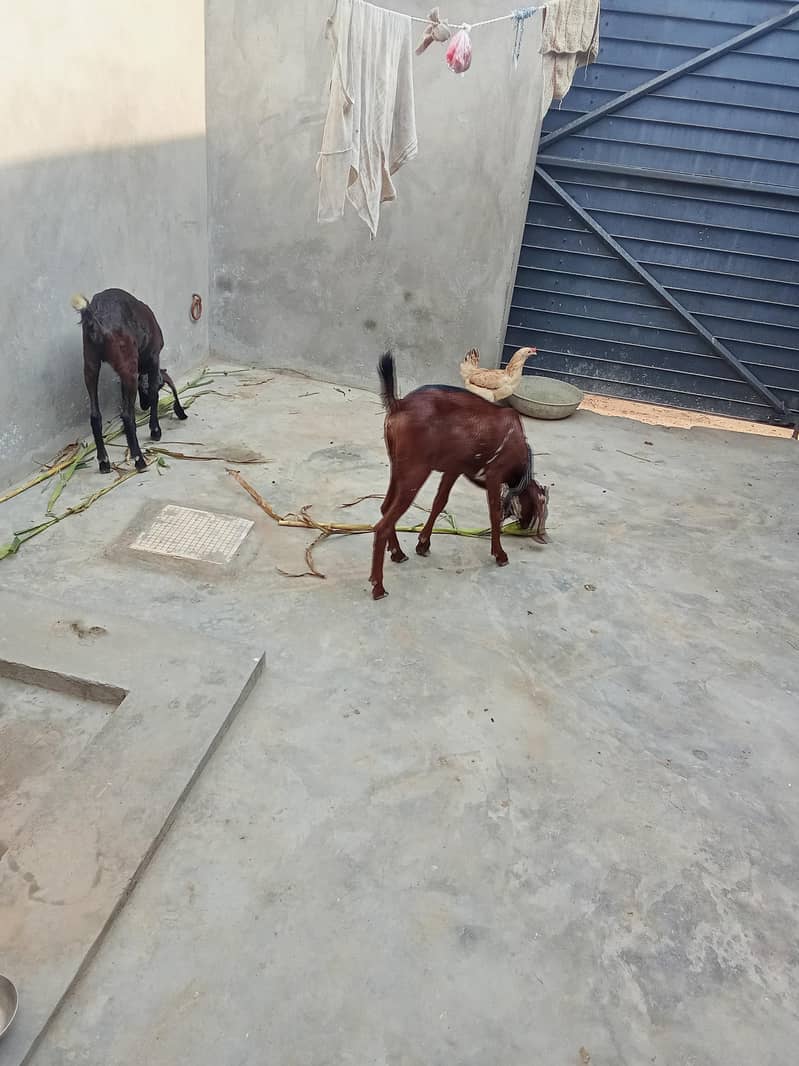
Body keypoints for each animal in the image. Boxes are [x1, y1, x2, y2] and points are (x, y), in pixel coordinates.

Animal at [71, 288, 187, 473]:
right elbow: (154, 394)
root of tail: (97, 319)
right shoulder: (154, 358)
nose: (144, 406)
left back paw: (104, 461)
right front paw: (155, 430)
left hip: (90, 364)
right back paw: (139, 459)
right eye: (161, 385)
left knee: (95, 416)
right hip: (127, 365)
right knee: (127, 415)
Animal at [370, 352, 548, 599]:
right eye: (541, 507)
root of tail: (398, 404)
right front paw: (500, 555)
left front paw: (423, 544)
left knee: (385, 507)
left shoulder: (454, 469)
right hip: (415, 470)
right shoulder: (495, 474)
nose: (524, 527)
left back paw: (398, 553)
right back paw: (378, 587)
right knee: (382, 526)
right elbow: (494, 513)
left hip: (397, 467)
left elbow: (439, 502)